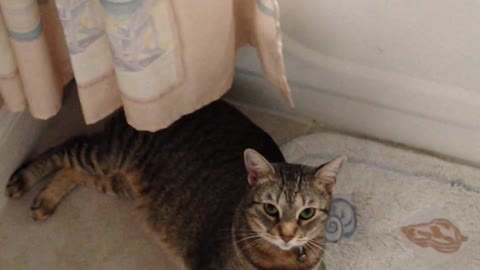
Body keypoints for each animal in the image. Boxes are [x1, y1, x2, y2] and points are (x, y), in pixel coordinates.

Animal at [5, 100, 346, 270]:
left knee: (71, 171)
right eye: (270, 209)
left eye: (306, 213)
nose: (287, 235)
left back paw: (46, 200)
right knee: (64, 151)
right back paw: (23, 181)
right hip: (108, 155)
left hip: (119, 180)